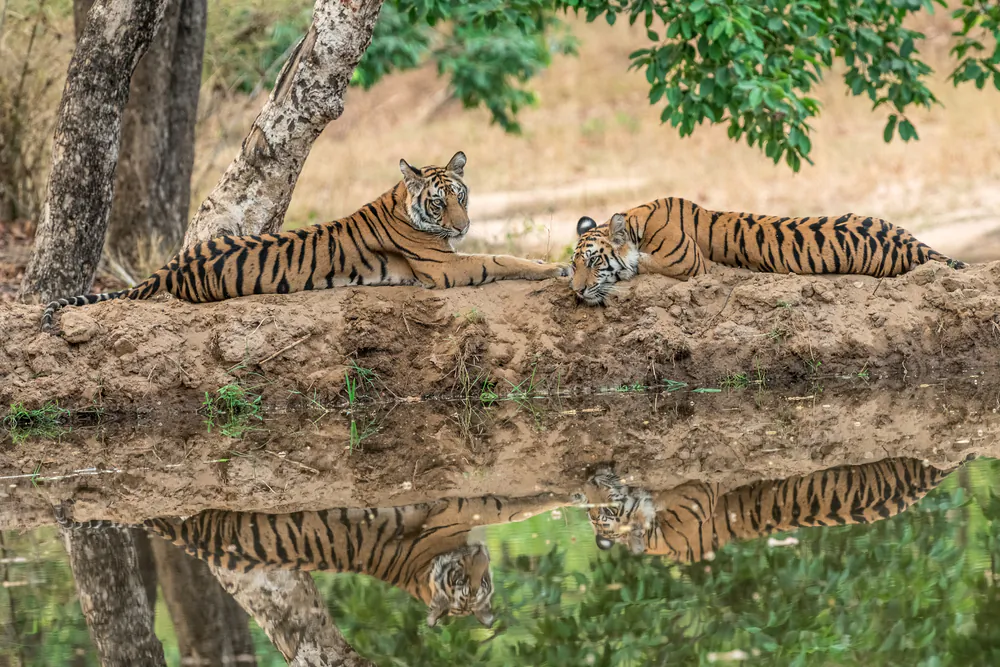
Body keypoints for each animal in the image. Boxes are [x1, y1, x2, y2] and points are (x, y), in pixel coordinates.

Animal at [41, 151, 570, 329]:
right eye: (440, 203)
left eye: (460, 195)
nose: (460, 226)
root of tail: (171, 265)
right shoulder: (443, 267)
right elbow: (500, 258)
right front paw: (555, 267)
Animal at [54, 491, 573, 628]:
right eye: (462, 582)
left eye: (482, 585)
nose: (483, 558)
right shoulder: (454, 506)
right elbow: (519, 504)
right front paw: (571, 496)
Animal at [571, 197, 967, 305]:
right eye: (574, 265)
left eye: (594, 261)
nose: (576, 291)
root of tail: (912, 242)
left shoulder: (686, 262)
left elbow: (640, 265)